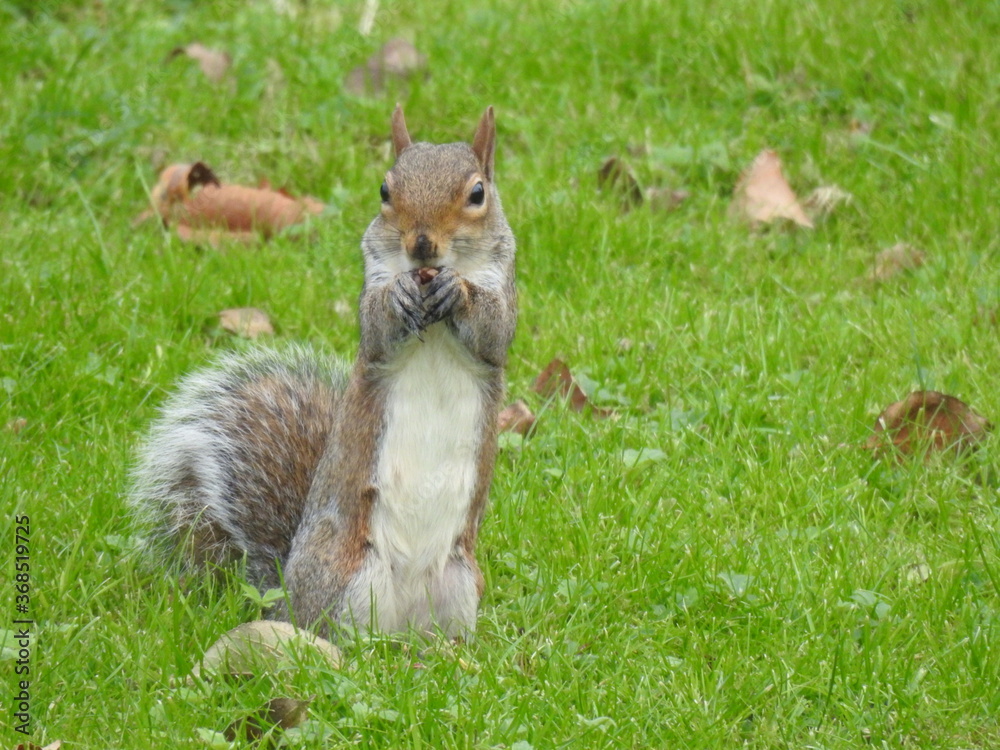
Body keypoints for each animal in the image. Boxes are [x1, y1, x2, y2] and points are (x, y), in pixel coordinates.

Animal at [130, 106, 520, 636]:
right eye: (384, 190)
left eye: (478, 193)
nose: (421, 245)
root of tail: (284, 594)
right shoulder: (374, 291)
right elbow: (376, 324)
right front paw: (398, 297)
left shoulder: (504, 292)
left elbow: (494, 330)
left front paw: (457, 291)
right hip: (351, 581)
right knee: (339, 636)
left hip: (458, 581)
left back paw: (447, 652)